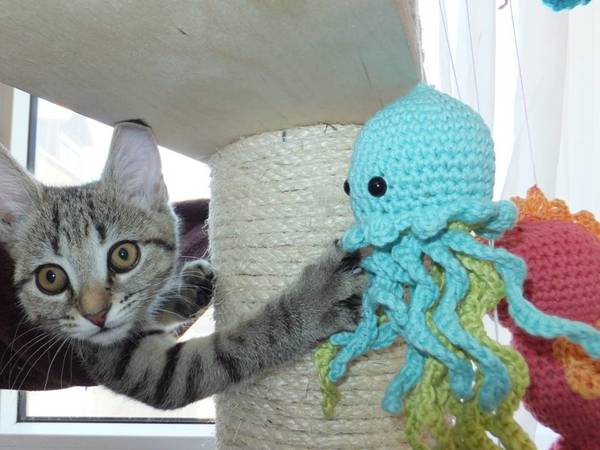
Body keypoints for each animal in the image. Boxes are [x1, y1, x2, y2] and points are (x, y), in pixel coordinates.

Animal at [0, 122, 365, 409]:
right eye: (50, 278)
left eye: (123, 255)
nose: (96, 315)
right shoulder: (140, 368)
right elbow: (232, 350)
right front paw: (315, 300)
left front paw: (187, 289)